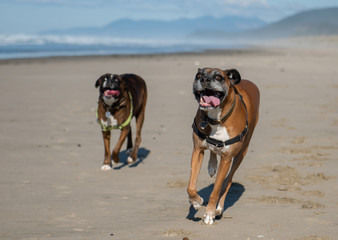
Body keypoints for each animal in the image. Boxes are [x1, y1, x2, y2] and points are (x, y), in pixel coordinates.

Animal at [186, 68, 260, 225]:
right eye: (199, 75)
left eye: (218, 77)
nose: (204, 80)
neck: (216, 119)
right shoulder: (197, 150)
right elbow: (191, 186)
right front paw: (195, 201)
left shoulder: (227, 159)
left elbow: (217, 189)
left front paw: (210, 213)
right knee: (214, 152)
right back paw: (212, 165)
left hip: (240, 153)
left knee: (228, 181)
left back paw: (219, 208)